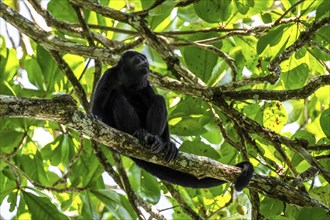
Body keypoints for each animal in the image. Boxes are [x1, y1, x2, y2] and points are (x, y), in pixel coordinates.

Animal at [90, 50, 253, 190]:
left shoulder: (146, 84)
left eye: (144, 59)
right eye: (138, 58)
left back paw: (156, 139)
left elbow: (155, 100)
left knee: (159, 99)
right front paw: (97, 117)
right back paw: (138, 133)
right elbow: (97, 103)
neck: (128, 80)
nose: (145, 62)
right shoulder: (109, 75)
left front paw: (169, 144)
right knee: (117, 98)